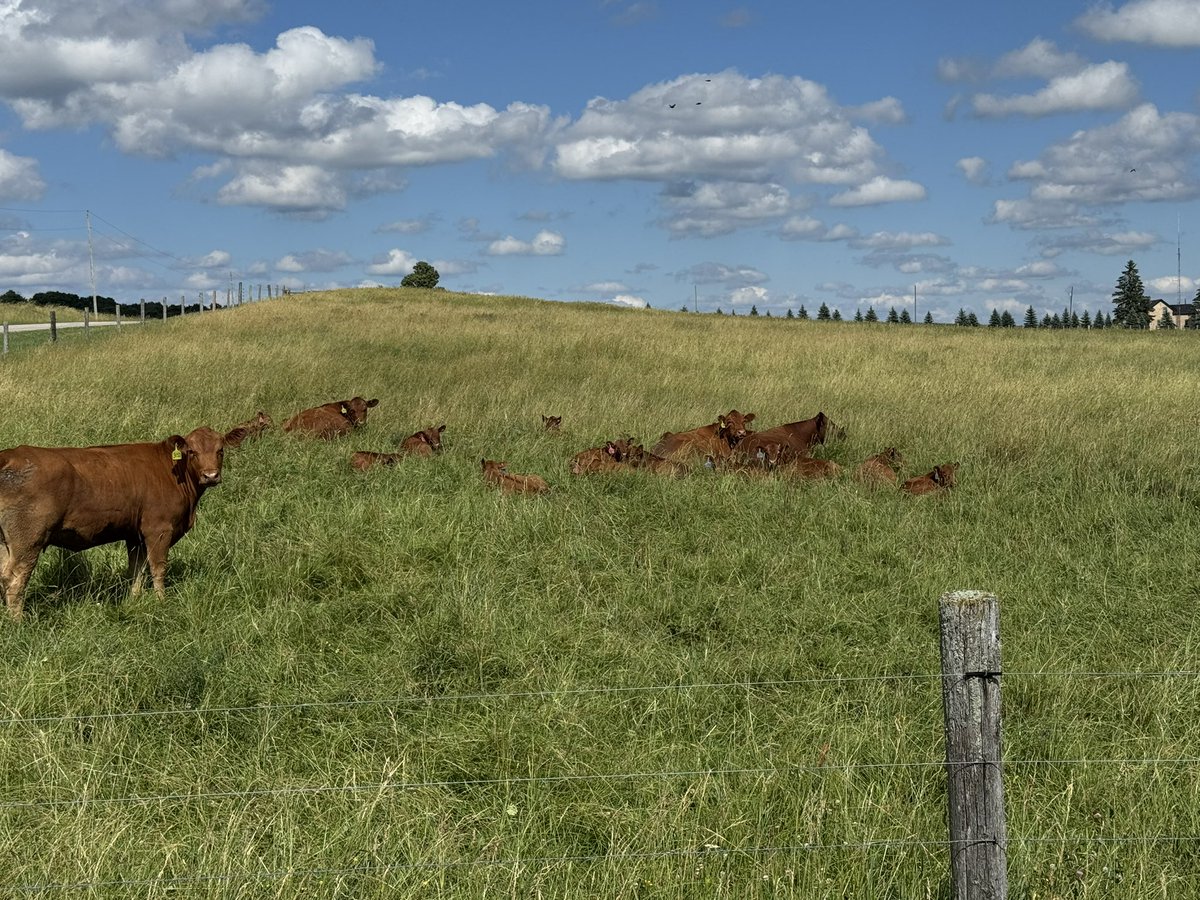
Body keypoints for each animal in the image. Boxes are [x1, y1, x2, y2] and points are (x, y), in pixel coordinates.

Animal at [0, 427, 226, 620]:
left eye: (220, 450)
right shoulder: (158, 530)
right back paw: (18, 622)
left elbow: (137, 570)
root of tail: (10, 455)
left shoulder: (135, 536)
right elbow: (158, 569)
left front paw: (134, 600)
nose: (211, 475)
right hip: (28, 541)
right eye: (192, 451)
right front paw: (162, 602)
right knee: (15, 579)